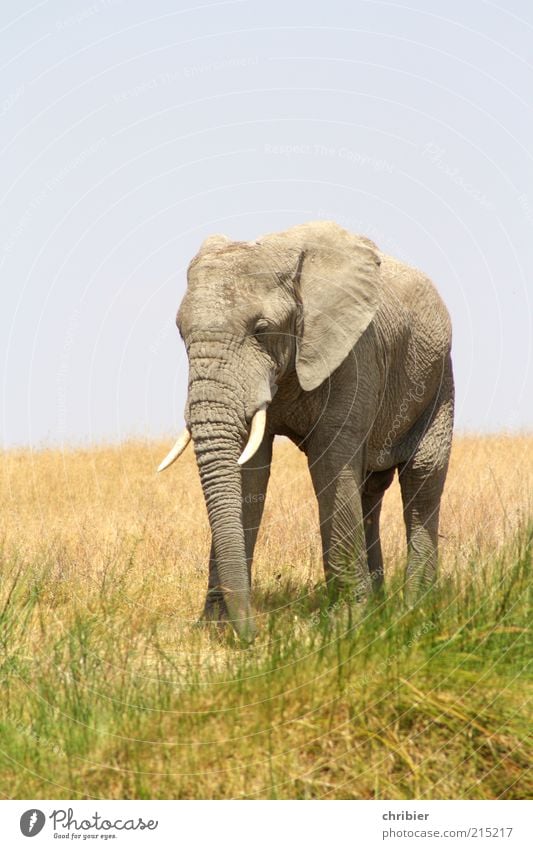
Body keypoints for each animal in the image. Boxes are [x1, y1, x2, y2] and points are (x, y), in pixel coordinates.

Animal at [159, 222, 454, 640]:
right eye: (181, 332)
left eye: (261, 329)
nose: (254, 634)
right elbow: (249, 472)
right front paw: (216, 629)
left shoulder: (355, 353)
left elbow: (330, 462)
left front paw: (346, 623)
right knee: (370, 489)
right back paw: (381, 609)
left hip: (439, 376)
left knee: (422, 476)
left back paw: (415, 612)